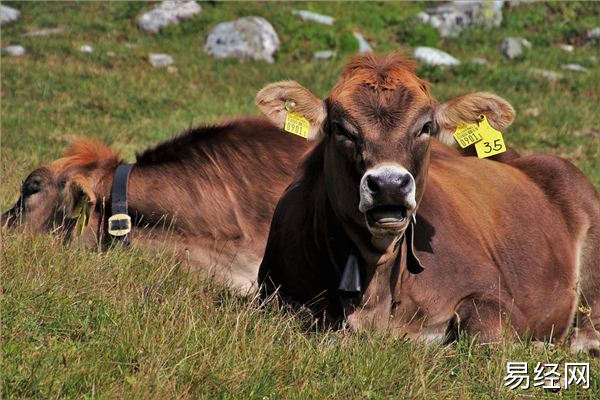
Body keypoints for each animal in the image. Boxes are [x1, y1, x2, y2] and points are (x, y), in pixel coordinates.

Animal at [256, 51, 600, 354]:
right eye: (341, 128)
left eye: (424, 128)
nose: (389, 184)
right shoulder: (274, 293)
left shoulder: (494, 295)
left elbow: (486, 334)